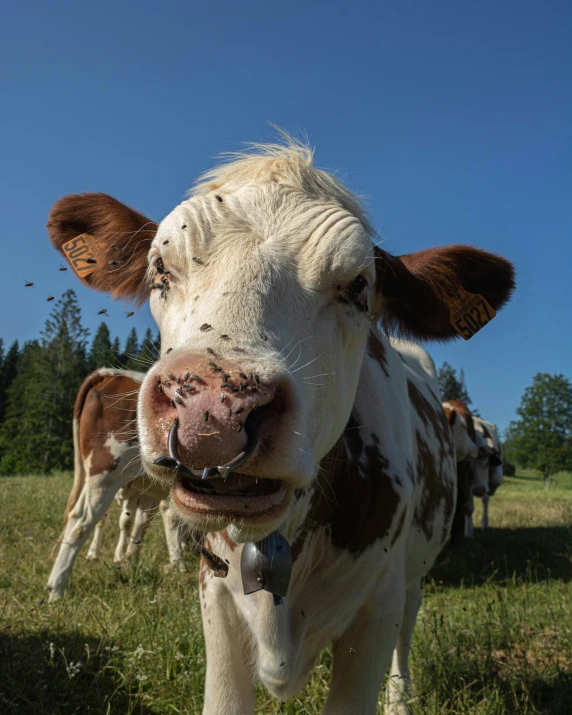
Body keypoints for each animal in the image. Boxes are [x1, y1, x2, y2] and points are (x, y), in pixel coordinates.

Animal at [47, 366, 185, 600]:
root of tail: (110, 374)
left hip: (96, 477)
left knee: (76, 516)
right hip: (106, 473)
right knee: (83, 521)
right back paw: (58, 586)